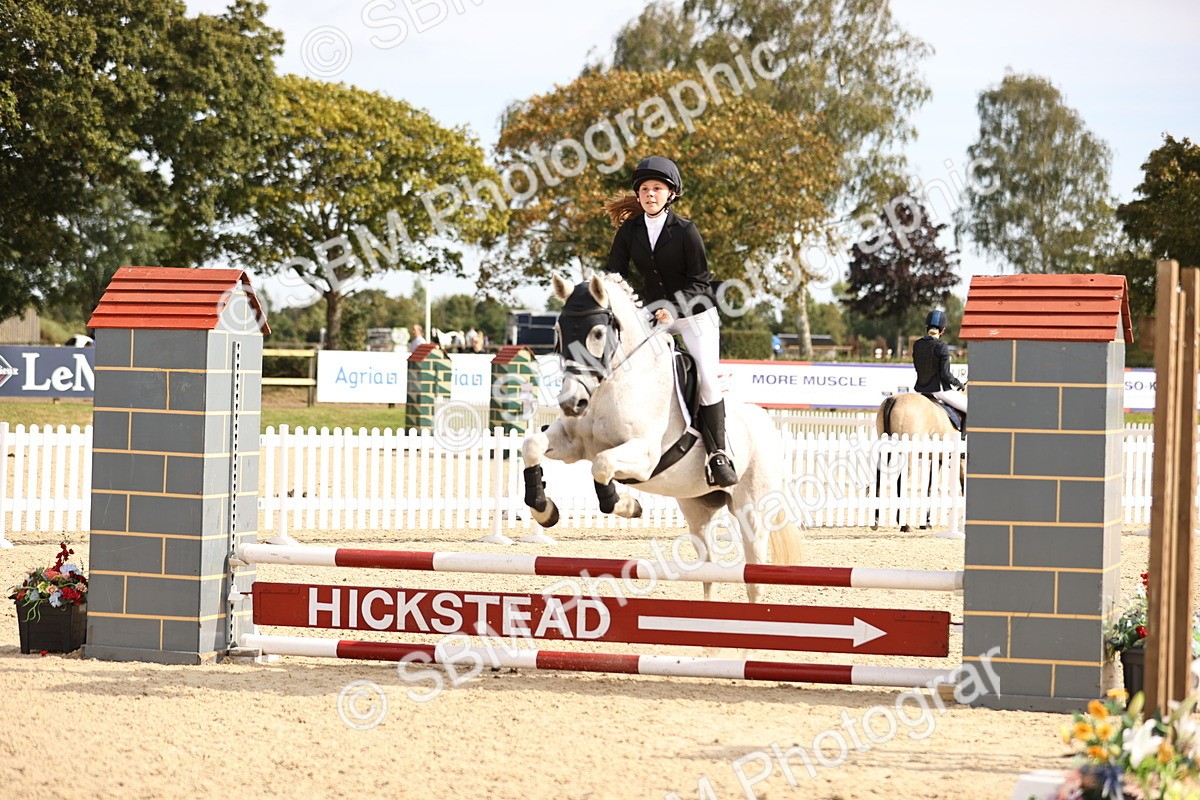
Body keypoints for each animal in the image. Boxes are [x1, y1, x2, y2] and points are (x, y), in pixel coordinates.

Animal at [520, 272, 804, 602]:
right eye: (559, 331)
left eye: (598, 333)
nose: (571, 402)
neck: (612, 382)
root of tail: (765, 422)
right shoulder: (572, 443)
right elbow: (532, 446)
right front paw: (544, 510)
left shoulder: (644, 456)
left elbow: (602, 464)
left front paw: (628, 506)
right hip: (697, 508)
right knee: (709, 568)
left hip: (751, 512)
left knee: (754, 577)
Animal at [874, 392, 965, 532]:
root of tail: (894, 398)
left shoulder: (937, 458)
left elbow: (930, 486)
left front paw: (926, 522)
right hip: (910, 456)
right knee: (900, 483)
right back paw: (904, 524)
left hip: (886, 451)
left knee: (879, 479)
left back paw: (876, 520)